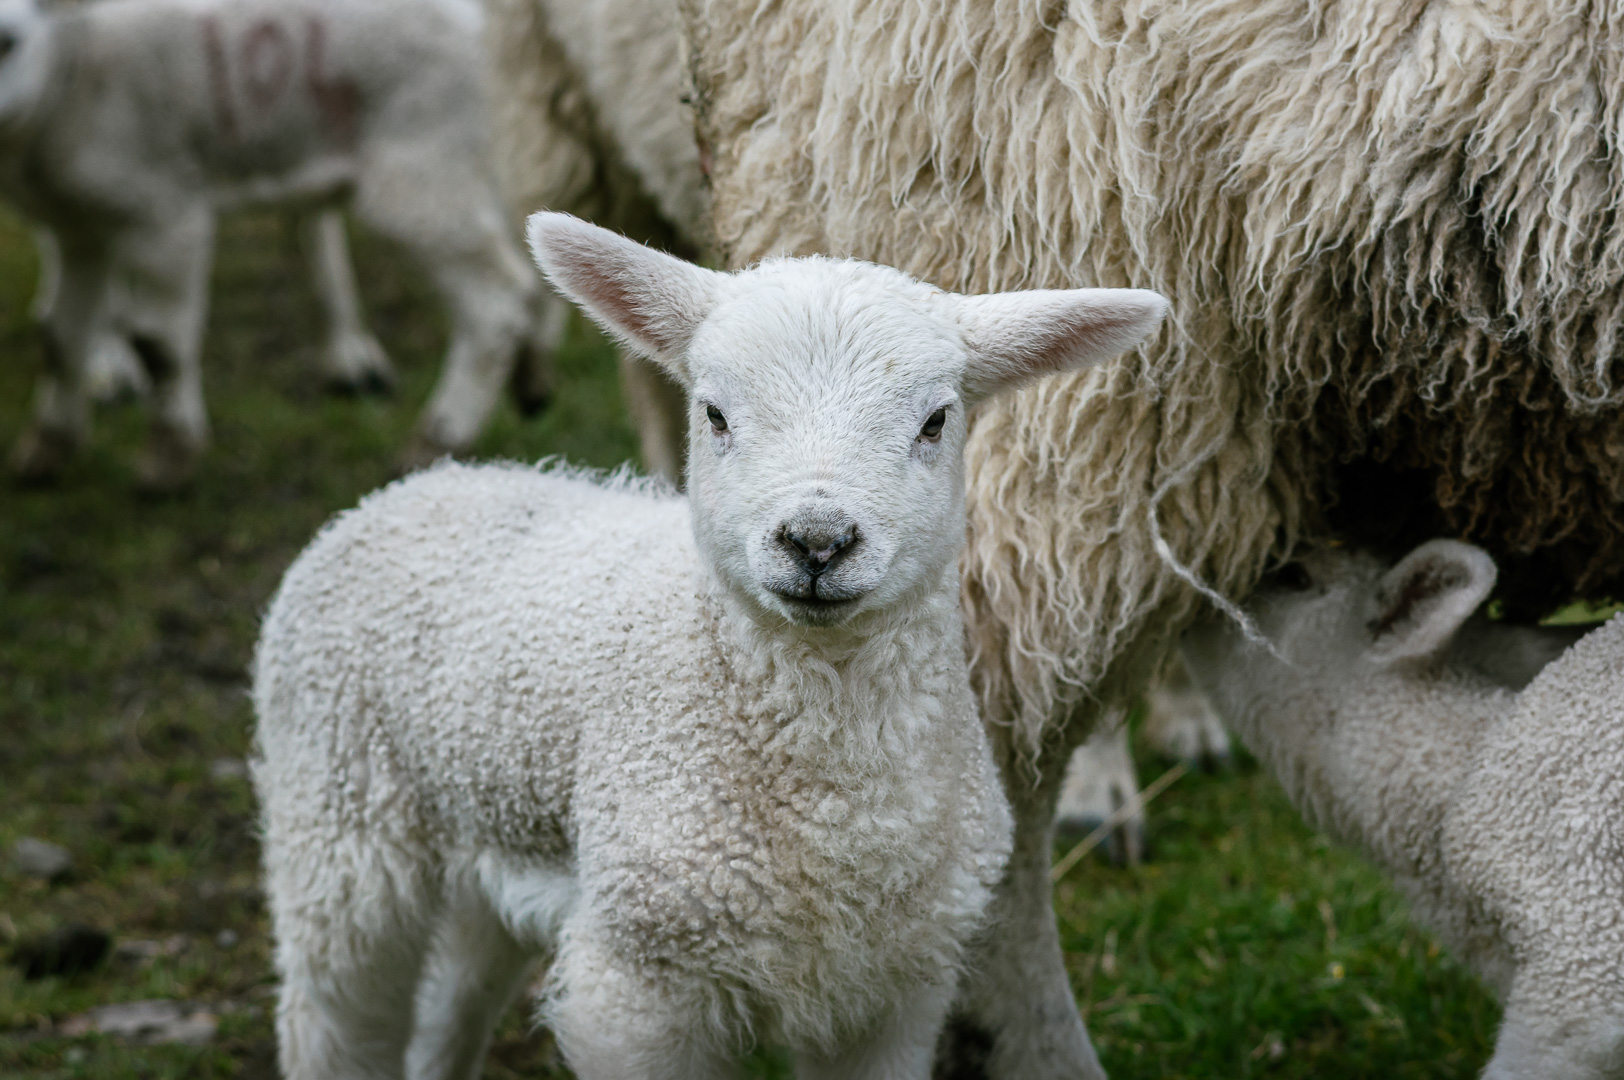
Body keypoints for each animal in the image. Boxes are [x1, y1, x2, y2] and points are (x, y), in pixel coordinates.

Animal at [1, 0, 543, 489]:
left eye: (9, 42)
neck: (73, 73)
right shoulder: (79, 233)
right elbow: (60, 337)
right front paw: (47, 447)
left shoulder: (167, 212)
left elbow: (160, 344)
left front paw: (169, 458)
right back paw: (530, 382)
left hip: (422, 170)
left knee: (495, 298)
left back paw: (437, 437)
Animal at [251, 213, 1168, 1079]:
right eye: (716, 414)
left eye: (937, 421)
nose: (817, 541)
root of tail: (424, 486)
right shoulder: (638, 985)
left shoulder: (894, 992)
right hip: (338, 825)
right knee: (332, 1018)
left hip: (489, 844)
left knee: (448, 1003)